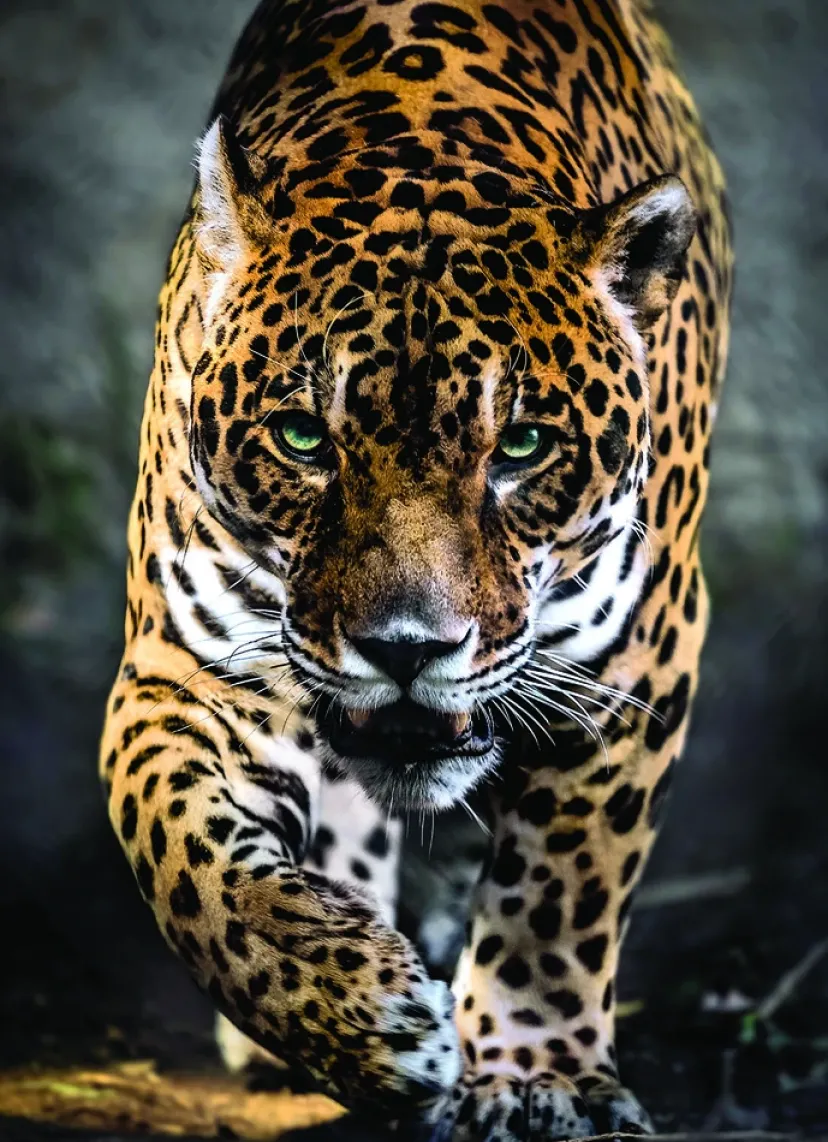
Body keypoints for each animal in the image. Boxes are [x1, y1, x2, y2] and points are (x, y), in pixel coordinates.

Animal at [99, 0, 732, 1137]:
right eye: (304, 438)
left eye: (521, 446)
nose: (406, 649)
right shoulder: (185, 669)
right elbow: (186, 856)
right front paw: (358, 1014)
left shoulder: (631, 666)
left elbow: (560, 893)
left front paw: (535, 1077)